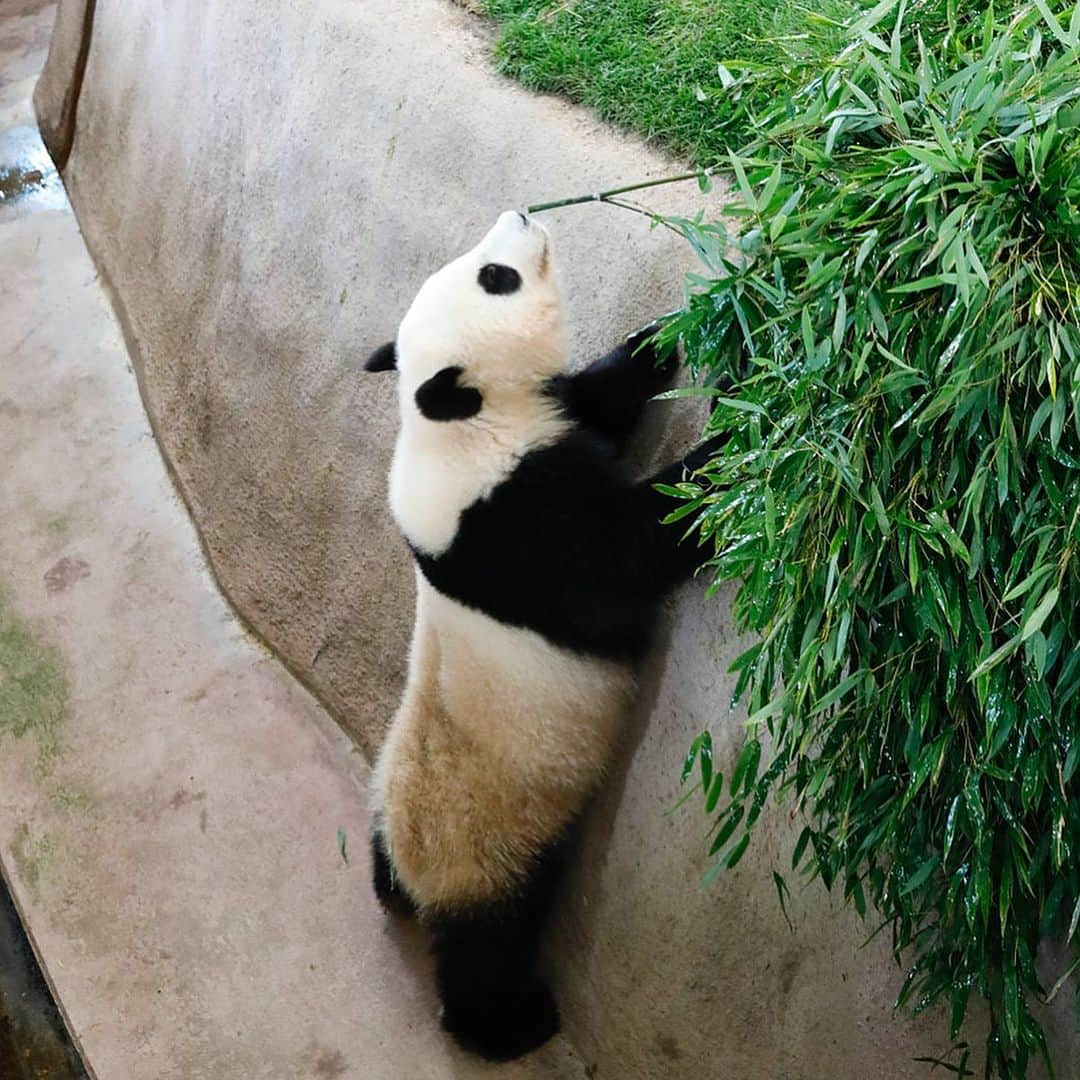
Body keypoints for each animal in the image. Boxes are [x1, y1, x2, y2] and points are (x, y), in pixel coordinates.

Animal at [362, 210, 717, 1062]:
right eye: (496, 277)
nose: (520, 215)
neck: (457, 425)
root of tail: (418, 877)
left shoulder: (546, 425)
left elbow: (606, 391)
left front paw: (713, 305)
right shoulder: (513, 521)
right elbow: (626, 558)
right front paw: (738, 455)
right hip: (486, 852)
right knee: (484, 952)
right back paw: (517, 1023)